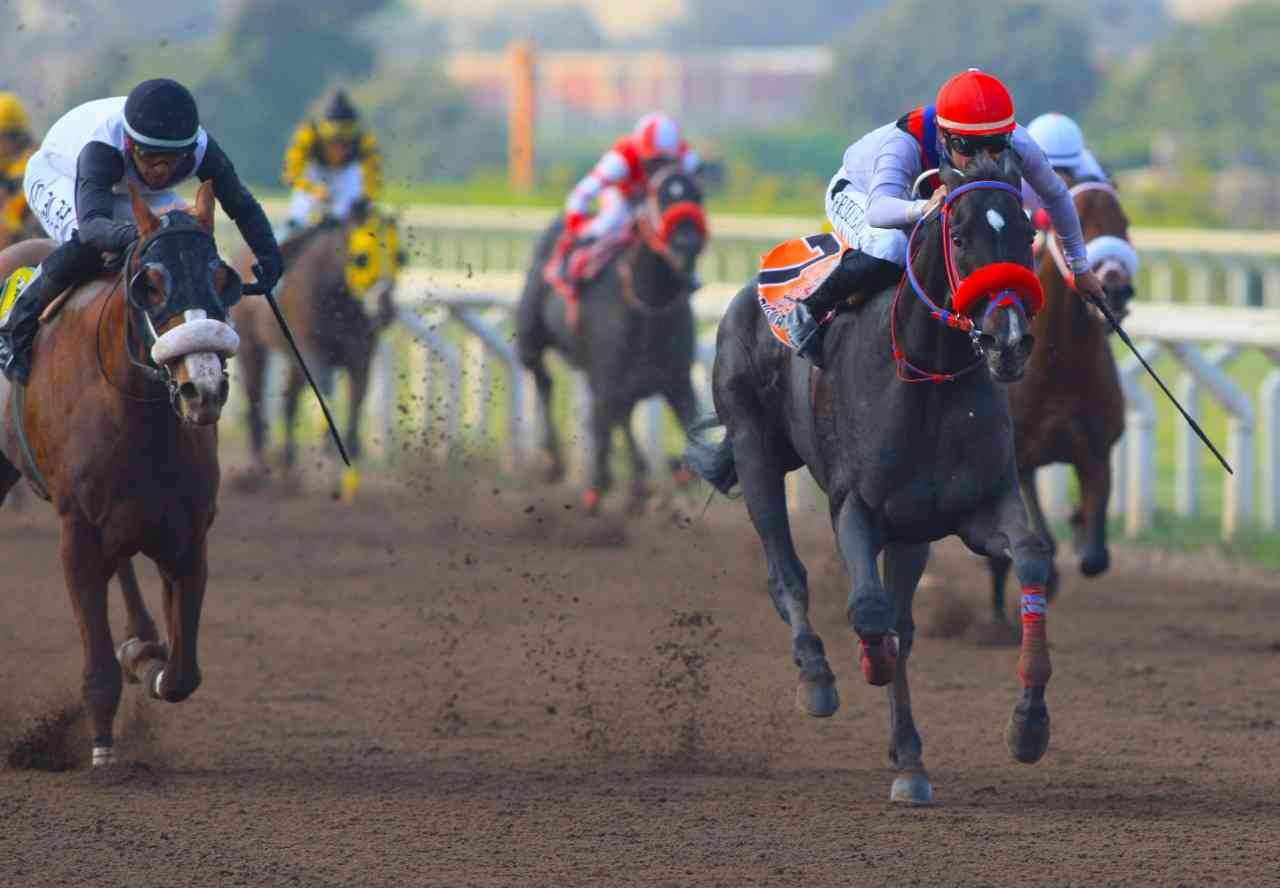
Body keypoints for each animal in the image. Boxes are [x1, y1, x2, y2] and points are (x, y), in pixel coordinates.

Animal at [0, 181, 243, 766]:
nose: (203, 388)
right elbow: (98, 663)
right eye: (149, 283)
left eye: (222, 278)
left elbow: (182, 674)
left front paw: (148, 658)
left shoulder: (188, 534)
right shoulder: (77, 534)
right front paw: (103, 748)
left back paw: (142, 637)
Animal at [232, 206, 401, 501]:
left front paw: (348, 479)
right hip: (253, 347)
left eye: (400, 257)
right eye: (362, 258)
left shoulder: (361, 355)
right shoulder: (314, 351)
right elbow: (327, 395)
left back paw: (288, 468)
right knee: (255, 400)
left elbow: (356, 404)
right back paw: (258, 469)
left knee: (289, 404)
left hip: (293, 359)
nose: (385, 309)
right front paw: (328, 466)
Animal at [516, 167, 708, 513]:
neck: (648, 303)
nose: (687, 243)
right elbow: (615, 425)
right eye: (660, 196)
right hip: (529, 339)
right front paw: (621, 487)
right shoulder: (610, 382)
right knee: (545, 380)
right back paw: (556, 463)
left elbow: (690, 426)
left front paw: (674, 473)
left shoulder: (677, 383)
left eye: (697, 195)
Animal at [684, 153, 1055, 804]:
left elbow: (1029, 559)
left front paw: (1028, 725)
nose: (1009, 342)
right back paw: (817, 676)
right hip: (755, 449)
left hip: (911, 531)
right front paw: (858, 664)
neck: (928, 377)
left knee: (900, 621)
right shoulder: (855, 507)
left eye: (1025, 235)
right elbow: (868, 610)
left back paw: (910, 758)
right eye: (960, 237)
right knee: (787, 575)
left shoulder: (977, 507)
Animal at [987, 181, 1134, 624]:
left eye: (1124, 221)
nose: (1116, 290)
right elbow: (1038, 540)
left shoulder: (1097, 453)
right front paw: (1045, 577)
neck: (1059, 362)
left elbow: (1095, 557)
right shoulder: (1019, 460)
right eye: (1079, 219)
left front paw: (1079, 525)